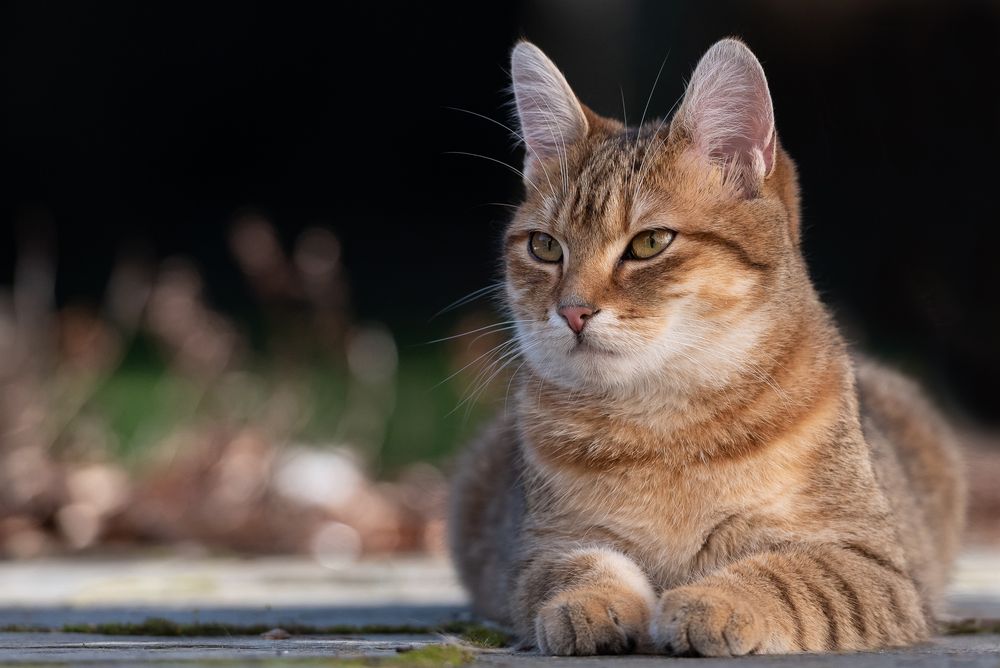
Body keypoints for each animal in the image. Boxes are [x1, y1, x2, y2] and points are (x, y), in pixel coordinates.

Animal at [450, 37, 964, 656]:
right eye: (546, 247)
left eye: (650, 242)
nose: (572, 310)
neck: (663, 424)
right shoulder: (539, 551)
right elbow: (577, 567)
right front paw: (587, 605)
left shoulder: (873, 566)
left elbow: (786, 574)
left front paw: (715, 600)